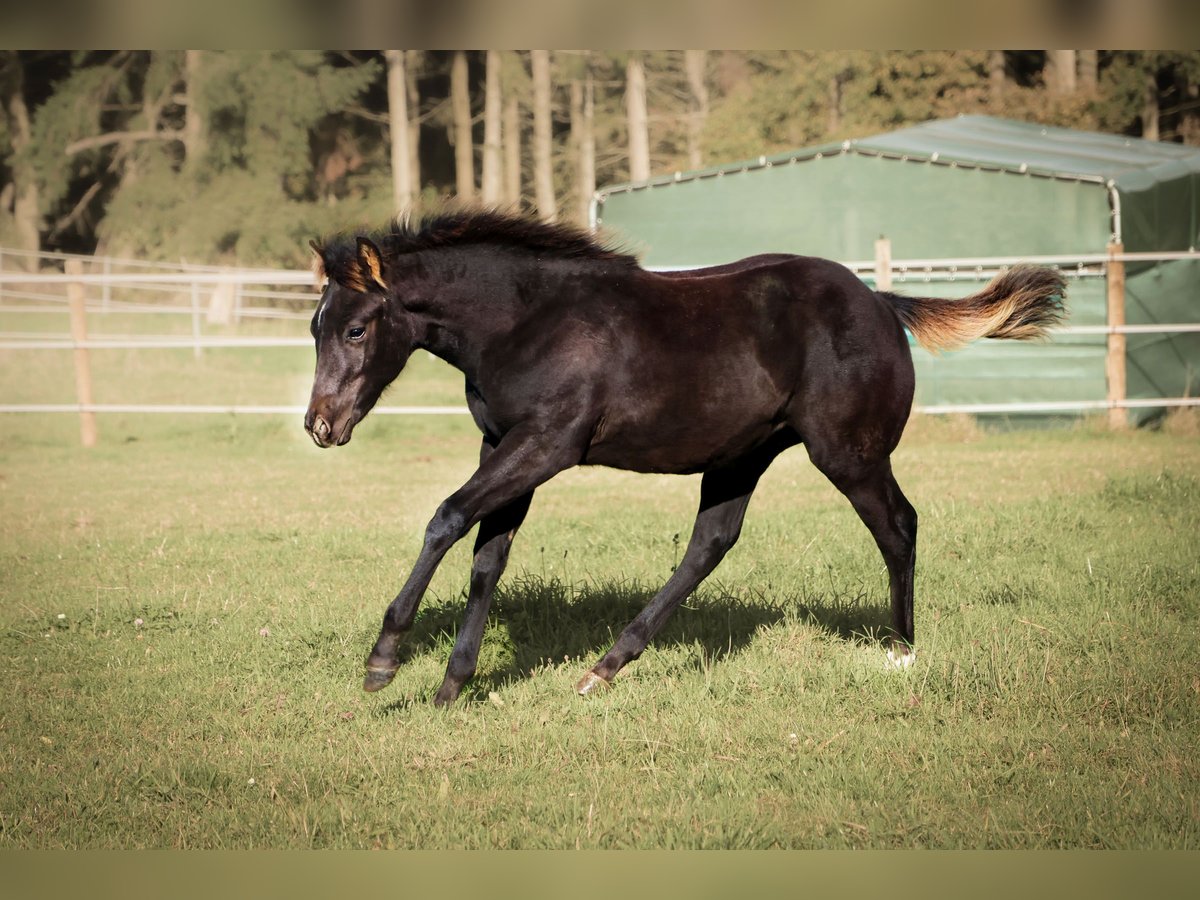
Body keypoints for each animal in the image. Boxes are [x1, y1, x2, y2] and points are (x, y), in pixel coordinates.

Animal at [304, 208, 1065, 705]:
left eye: (355, 328)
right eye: (315, 326)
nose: (320, 425)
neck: (530, 320)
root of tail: (883, 303)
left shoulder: (546, 445)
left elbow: (447, 517)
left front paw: (384, 661)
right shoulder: (504, 444)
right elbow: (487, 557)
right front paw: (453, 684)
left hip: (848, 453)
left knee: (898, 525)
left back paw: (900, 651)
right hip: (740, 456)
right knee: (711, 543)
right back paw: (604, 668)